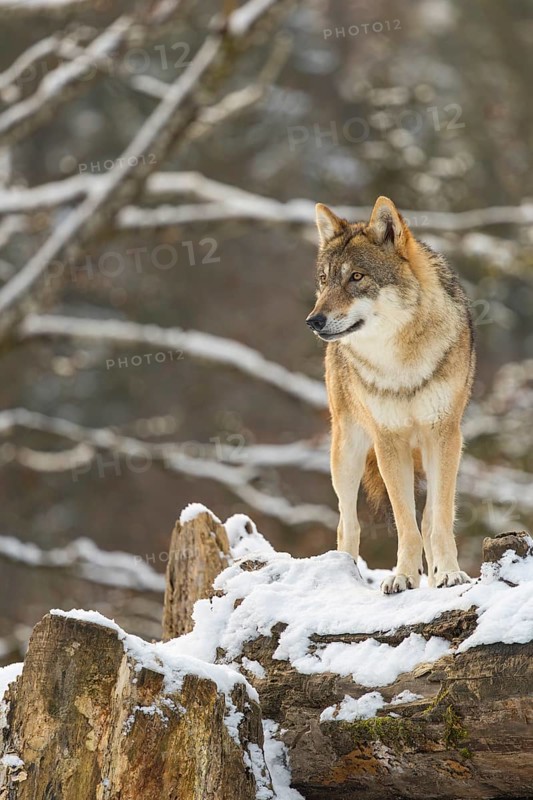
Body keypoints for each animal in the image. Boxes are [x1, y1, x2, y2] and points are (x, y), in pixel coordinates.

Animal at [306, 196, 475, 594]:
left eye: (356, 277)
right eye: (324, 280)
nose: (314, 321)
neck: (401, 363)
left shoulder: (444, 435)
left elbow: (438, 521)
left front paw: (448, 574)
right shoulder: (388, 441)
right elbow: (404, 523)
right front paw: (402, 576)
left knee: (430, 518)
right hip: (346, 452)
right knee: (347, 523)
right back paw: (343, 573)